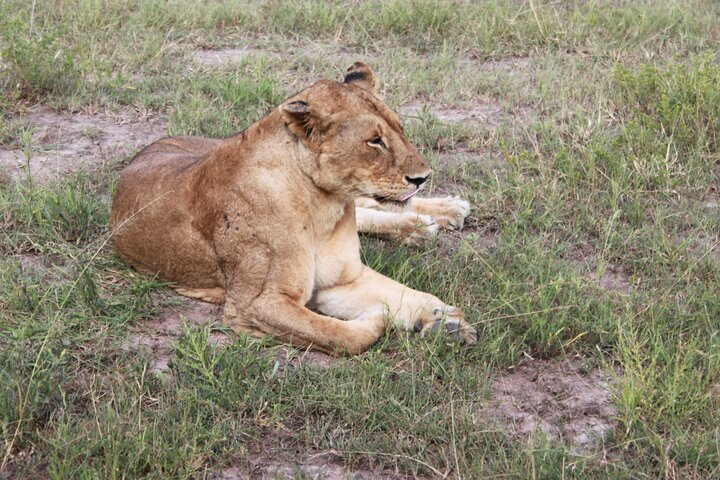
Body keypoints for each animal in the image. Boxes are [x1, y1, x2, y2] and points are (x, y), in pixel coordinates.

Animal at [110, 62, 477, 355]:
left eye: (400, 128)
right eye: (374, 141)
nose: (423, 177)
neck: (324, 205)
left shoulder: (343, 278)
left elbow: (403, 293)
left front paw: (444, 320)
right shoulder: (258, 303)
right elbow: (339, 335)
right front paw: (391, 320)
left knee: (367, 206)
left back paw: (444, 211)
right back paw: (422, 226)